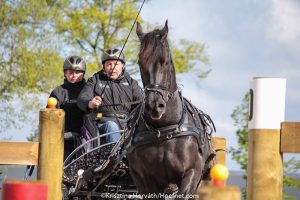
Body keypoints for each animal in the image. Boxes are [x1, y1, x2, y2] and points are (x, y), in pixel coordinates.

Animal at [126, 21, 216, 199]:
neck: (165, 128)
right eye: (140, 63)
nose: (154, 106)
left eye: (165, 61)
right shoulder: (147, 178)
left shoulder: (192, 173)